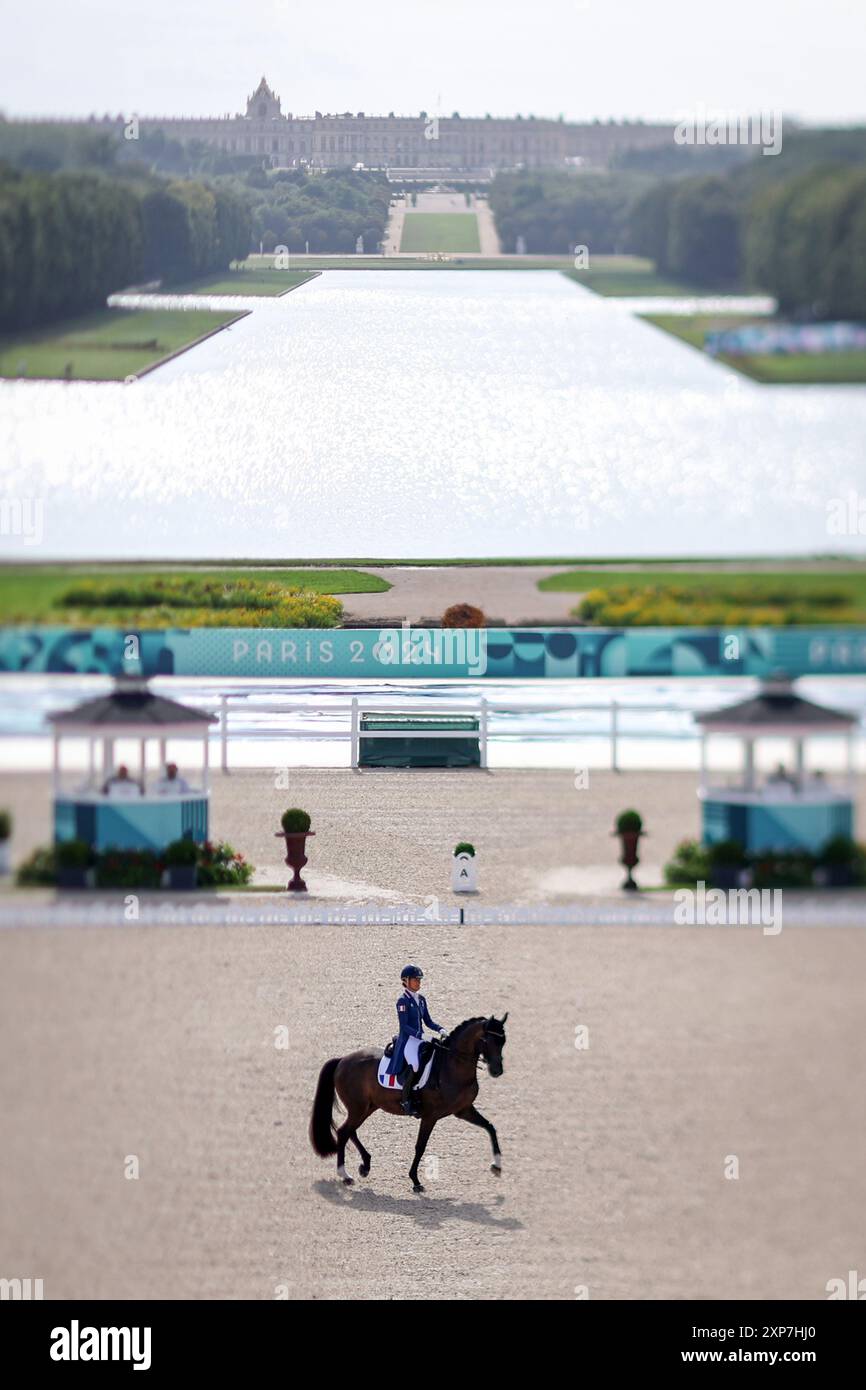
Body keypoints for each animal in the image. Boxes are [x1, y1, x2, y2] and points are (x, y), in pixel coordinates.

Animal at [309, 1011, 508, 1195]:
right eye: (487, 1040)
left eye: (503, 1041)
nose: (497, 1071)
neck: (453, 1067)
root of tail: (342, 1060)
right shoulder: (430, 1116)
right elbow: (420, 1146)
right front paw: (415, 1180)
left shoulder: (464, 1110)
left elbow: (490, 1127)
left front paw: (497, 1166)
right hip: (358, 1108)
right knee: (344, 1132)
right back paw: (345, 1175)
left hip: (368, 1107)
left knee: (350, 1131)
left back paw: (365, 1165)